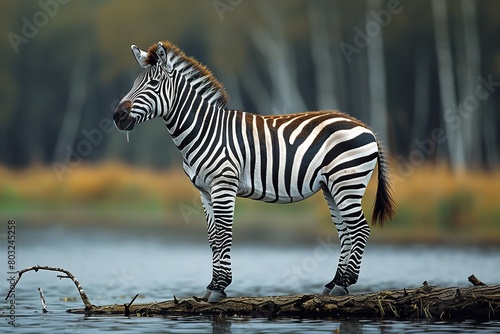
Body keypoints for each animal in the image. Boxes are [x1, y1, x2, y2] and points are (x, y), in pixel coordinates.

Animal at [112, 41, 394, 302]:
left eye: (154, 83)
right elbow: (213, 238)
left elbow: (224, 234)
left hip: (347, 181)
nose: (117, 116)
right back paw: (335, 283)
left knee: (360, 229)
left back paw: (342, 284)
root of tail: (365, 127)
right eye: (135, 83)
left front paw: (220, 287)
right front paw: (211, 286)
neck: (204, 131)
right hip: (331, 187)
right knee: (346, 232)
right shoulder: (204, 191)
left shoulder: (223, 185)